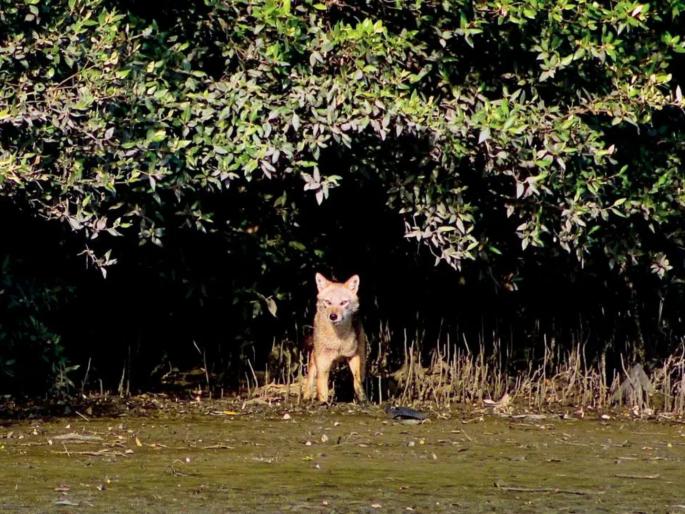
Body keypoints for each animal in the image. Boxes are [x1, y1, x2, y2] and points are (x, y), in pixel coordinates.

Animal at [303, 272, 367, 403]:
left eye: (343, 303)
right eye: (328, 302)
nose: (333, 316)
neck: (338, 341)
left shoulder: (353, 356)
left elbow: (356, 381)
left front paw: (361, 399)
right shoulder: (323, 361)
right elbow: (322, 388)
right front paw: (323, 403)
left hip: (361, 355)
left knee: (361, 377)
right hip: (315, 357)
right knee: (311, 375)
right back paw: (306, 396)